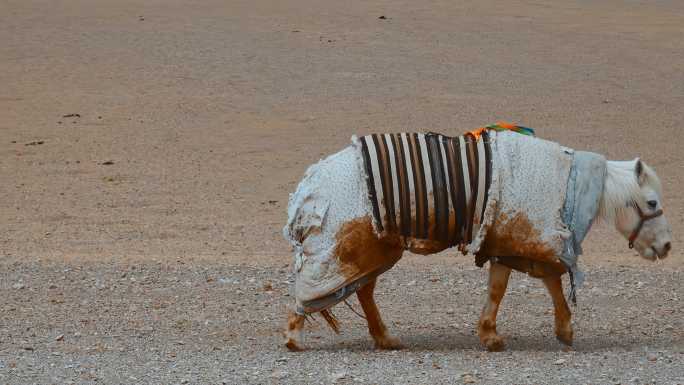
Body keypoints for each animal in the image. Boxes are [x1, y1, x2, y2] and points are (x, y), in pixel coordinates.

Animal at [280, 127, 672, 352]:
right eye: (652, 203)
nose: (667, 246)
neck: (571, 184)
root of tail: (309, 187)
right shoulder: (532, 238)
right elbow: (551, 281)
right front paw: (563, 330)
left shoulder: (506, 242)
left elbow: (509, 287)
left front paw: (492, 334)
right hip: (347, 248)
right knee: (318, 291)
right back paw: (295, 336)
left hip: (371, 248)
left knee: (362, 290)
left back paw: (383, 338)